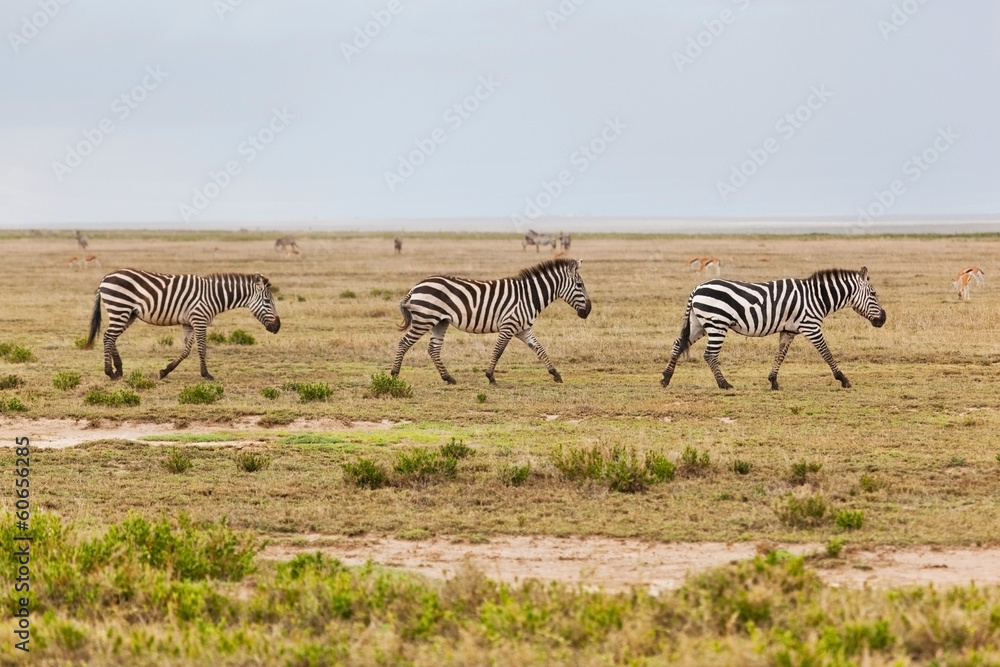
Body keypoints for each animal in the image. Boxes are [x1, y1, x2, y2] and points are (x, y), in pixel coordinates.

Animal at [84, 269, 281, 381]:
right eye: (267, 301)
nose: (277, 327)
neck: (213, 296)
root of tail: (105, 278)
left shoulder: (189, 323)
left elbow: (186, 350)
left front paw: (165, 371)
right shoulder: (200, 320)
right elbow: (202, 348)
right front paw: (206, 375)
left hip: (128, 314)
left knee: (111, 337)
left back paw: (118, 370)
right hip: (120, 308)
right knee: (108, 337)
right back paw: (110, 372)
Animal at [391, 258, 592, 385]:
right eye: (579, 285)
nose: (588, 311)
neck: (528, 296)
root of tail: (417, 286)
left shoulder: (523, 329)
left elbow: (540, 349)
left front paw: (556, 374)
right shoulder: (509, 326)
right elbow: (498, 351)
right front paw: (490, 377)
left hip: (440, 321)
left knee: (433, 349)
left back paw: (448, 378)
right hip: (424, 319)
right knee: (404, 343)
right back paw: (394, 374)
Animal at [660, 267, 886, 390]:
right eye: (874, 294)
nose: (883, 319)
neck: (817, 297)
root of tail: (697, 288)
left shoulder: (789, 330)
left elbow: (780, 355)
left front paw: (773, 382)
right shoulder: (811, 326)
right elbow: (827, 353)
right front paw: (843, 379)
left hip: (699, 324)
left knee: (678, 343)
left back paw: (666, 378)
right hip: (716, 323)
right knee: (709, 354)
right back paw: (724, 384)